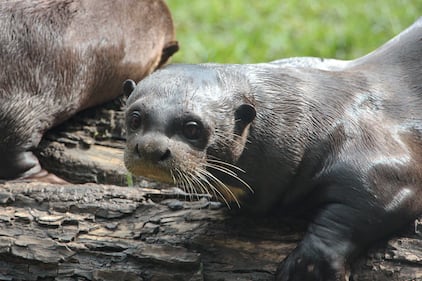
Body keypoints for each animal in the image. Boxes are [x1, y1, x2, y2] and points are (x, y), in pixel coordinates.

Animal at [123, 18, 420, 278]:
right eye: (134, 118)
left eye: (192, 128)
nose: (150, 148)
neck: (309, 124)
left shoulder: (378, 157)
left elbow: (370, 197)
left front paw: (309, 266)